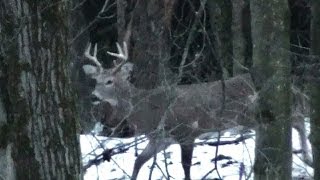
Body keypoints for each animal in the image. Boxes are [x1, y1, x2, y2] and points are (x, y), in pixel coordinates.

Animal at [82, 41, 310, 179]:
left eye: (110, 81)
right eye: (95, 80)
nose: (92, 96)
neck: (149, 111)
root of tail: (290, 85)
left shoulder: (187, 131)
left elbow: (186, 166)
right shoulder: (161, 139)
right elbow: (138, 161)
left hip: (251, 114)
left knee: (298, 118)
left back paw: (307, 156)